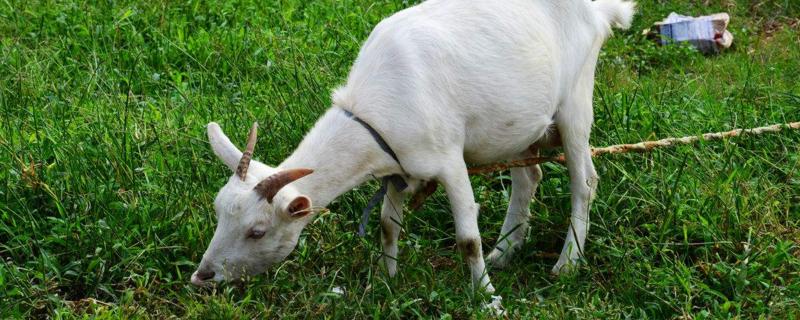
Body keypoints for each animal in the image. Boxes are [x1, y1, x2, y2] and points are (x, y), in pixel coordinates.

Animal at [191, 0, 636, 292]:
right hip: (515, 125)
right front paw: (388, 281)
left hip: (576, 101)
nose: (202, 276)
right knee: (529, 177)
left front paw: (486, 298)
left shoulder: (449, 159)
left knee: (585, 182)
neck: (375, 109)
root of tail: (600, 12)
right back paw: (505, 252)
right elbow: (387, 224)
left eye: (257, 232)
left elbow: (467, 238)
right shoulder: (397, 167)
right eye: (217, 214)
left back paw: (566, 264)